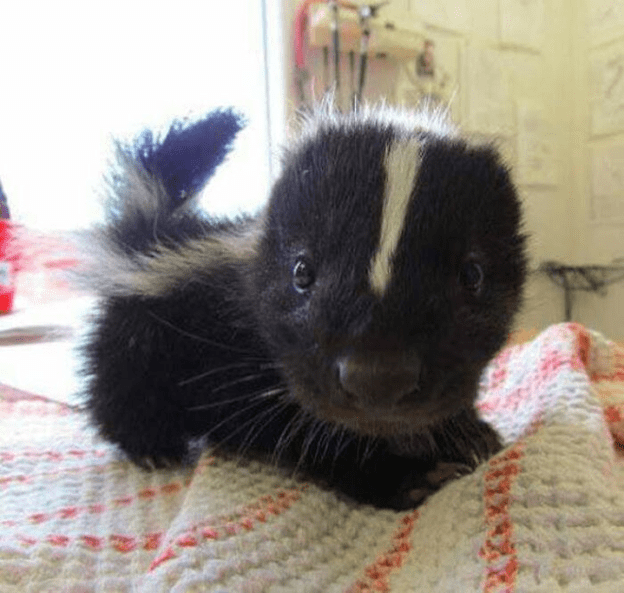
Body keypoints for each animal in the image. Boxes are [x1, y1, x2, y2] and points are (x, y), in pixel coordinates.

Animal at [79, 103, 528, 508]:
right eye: (302, 272)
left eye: (472, 275)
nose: (377, 378)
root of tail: (157, 234)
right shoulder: (250, 368)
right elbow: (304, 431)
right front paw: (404, 476)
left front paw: (469, 434)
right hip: (138, 337)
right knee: (119, 389)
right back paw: (152, 450)